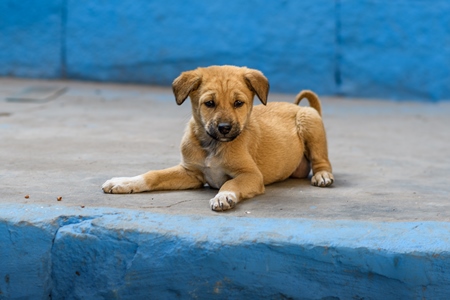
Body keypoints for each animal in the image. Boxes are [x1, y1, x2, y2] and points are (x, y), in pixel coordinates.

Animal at [103, 65, 334, 211]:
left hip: (309, 120)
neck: (212, 145)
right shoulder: (190, 173)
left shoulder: (251, 175)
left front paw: (224, 196)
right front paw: (124, 182)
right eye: (209, 103)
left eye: (238, 103)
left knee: (322, 160)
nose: (224, 128)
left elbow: (230, 183)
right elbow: (154, 175)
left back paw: (322, 176)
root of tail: (298, 107)